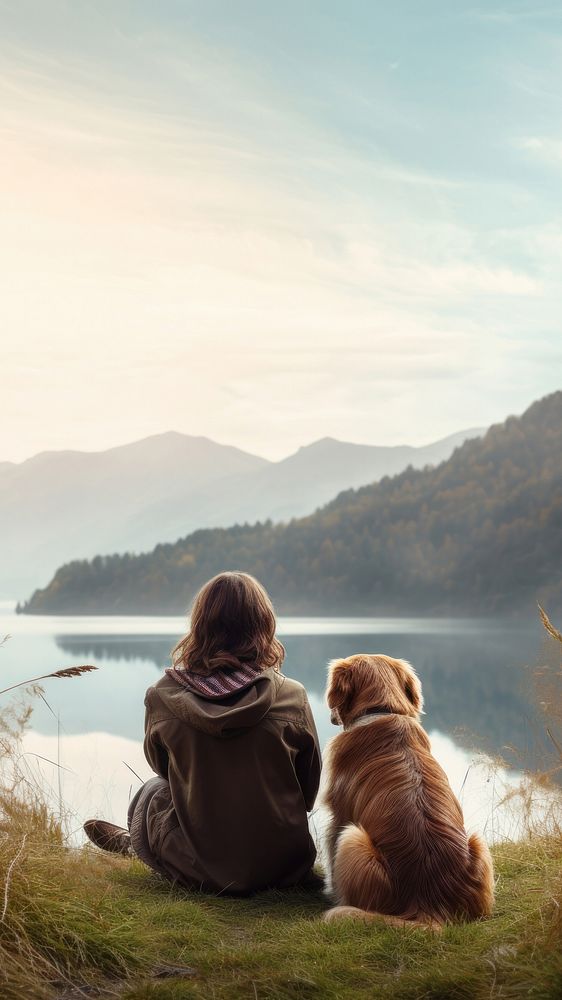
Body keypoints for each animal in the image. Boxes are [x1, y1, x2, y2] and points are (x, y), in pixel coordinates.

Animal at [322, 652, 492, 924]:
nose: (331, 716)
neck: (381, 711)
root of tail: (428, 905)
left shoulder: (338, 814)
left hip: (353, 839)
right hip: (479, 843)